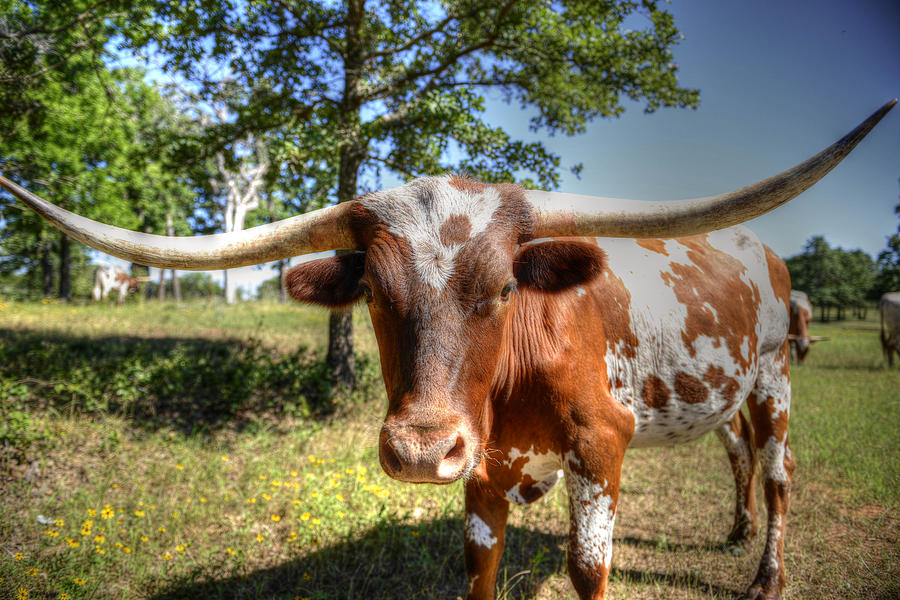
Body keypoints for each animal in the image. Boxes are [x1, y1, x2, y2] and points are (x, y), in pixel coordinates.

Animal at [1, 101, 892, 596]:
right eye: (372, 292)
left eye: (503, 289)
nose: (422, 449)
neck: (516, 378)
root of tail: (761, 248)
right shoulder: (486, 464)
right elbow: (478, 568)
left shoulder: (601, 445)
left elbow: (589, 569)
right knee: (736, 456)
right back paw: (736, 533)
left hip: (774, 378)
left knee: (777, 473)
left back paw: (766, 575)